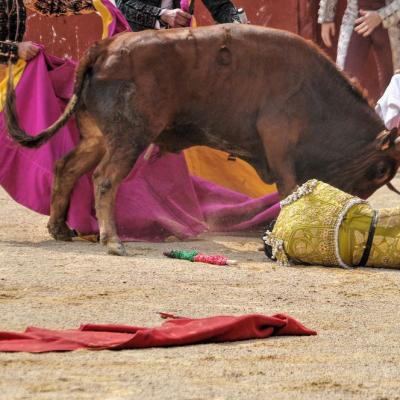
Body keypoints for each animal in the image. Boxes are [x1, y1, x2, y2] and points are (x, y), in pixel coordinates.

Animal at [5, 25, 400, 255]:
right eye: (381, 170)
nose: (355, 206)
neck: (316, 94)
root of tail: (104, 47)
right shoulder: (281, 147)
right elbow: (288, 190)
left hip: (97, 136)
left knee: (66, 167)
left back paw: (60, 228)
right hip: (130, 137)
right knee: (104, 178)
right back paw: (113, 240)